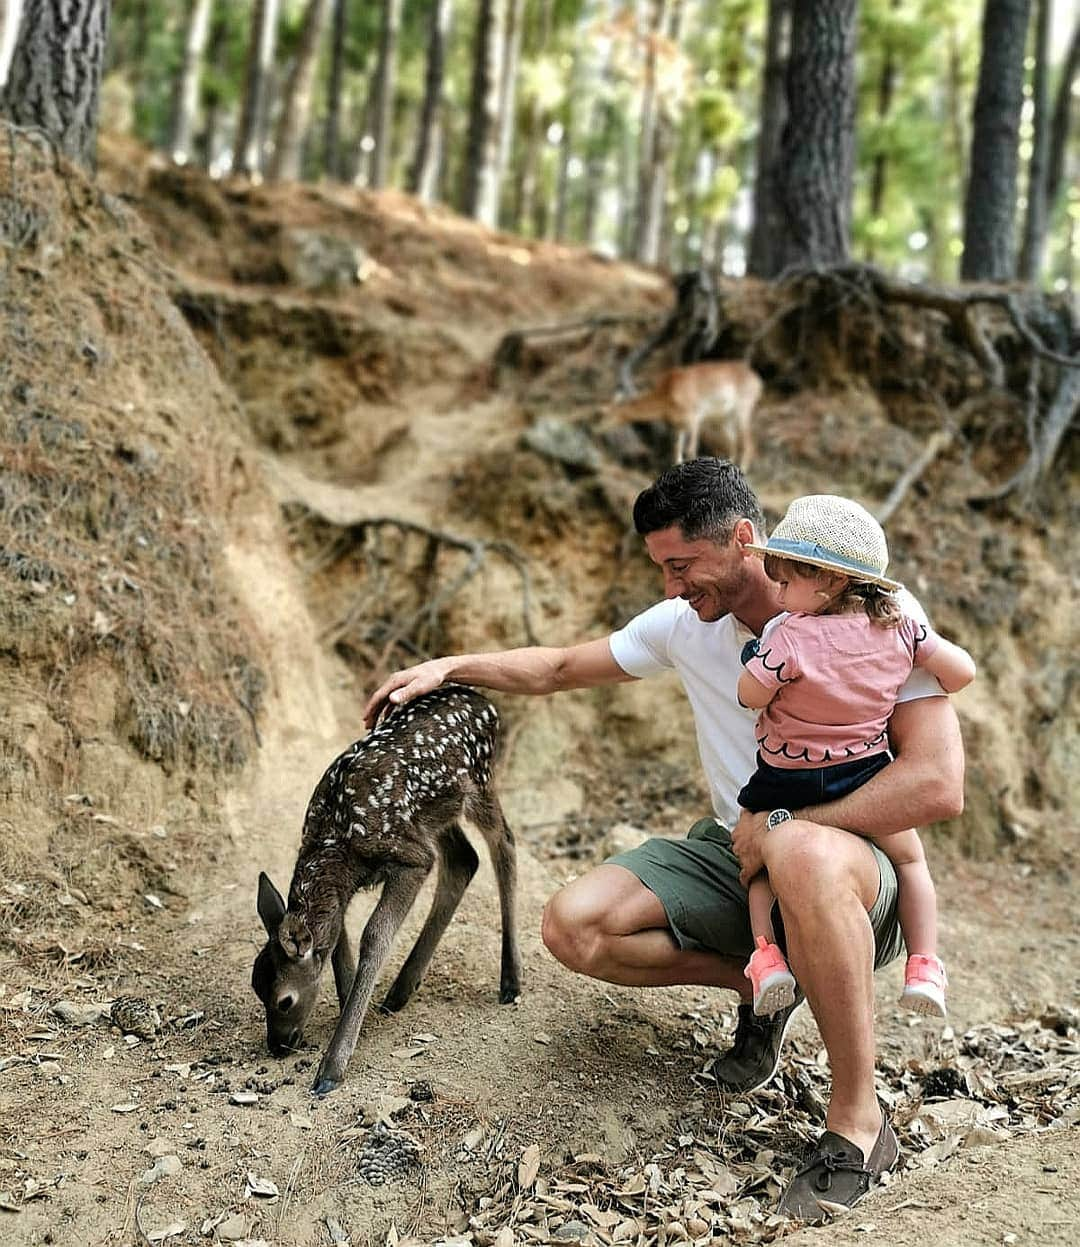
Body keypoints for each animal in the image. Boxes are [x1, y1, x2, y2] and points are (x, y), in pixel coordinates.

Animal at [251, 688, 521, 1097]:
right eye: (255, 988)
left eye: (284, 1001)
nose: (278, 1045)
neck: (337, 841)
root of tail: (485, 701)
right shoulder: (348, 888)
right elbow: (336, 942)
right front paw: (351, 1010)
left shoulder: (410, 859)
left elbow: (375, 935)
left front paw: (332, 1067)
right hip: (435, 814)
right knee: (464, 859)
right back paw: (400, 990)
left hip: (478, 783)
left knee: (503, 843)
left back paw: (510, 981)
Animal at [601, 361, 763, 468]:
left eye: (603, 413)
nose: (598, 429)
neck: (668, 391)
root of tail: (756, 379)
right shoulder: (679, 426)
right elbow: (677, 452)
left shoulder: (694, 420)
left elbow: (691, 451)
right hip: (725, 420)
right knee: (734, 445)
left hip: (742, 413)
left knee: (749, 445)